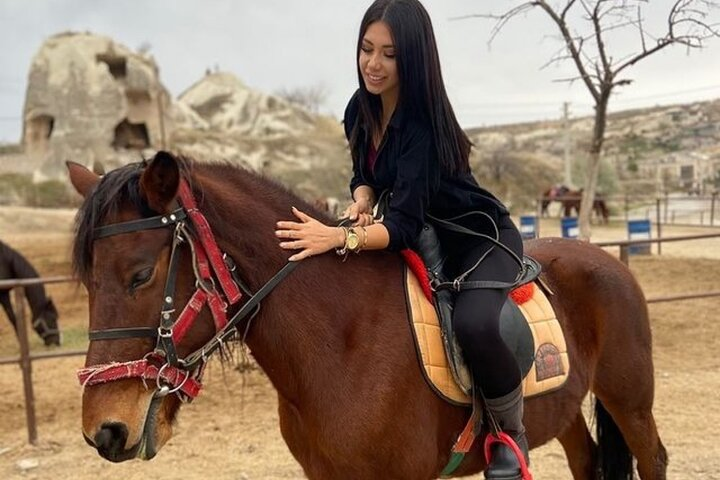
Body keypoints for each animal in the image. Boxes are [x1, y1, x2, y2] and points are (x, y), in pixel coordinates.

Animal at [70, 154, 668, 480]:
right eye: (88, 280)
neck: (342, 343)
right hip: (566, 411)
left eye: (141, 275)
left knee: (653, 458)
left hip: (630, 400)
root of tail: (606, 259)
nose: (105, 431)